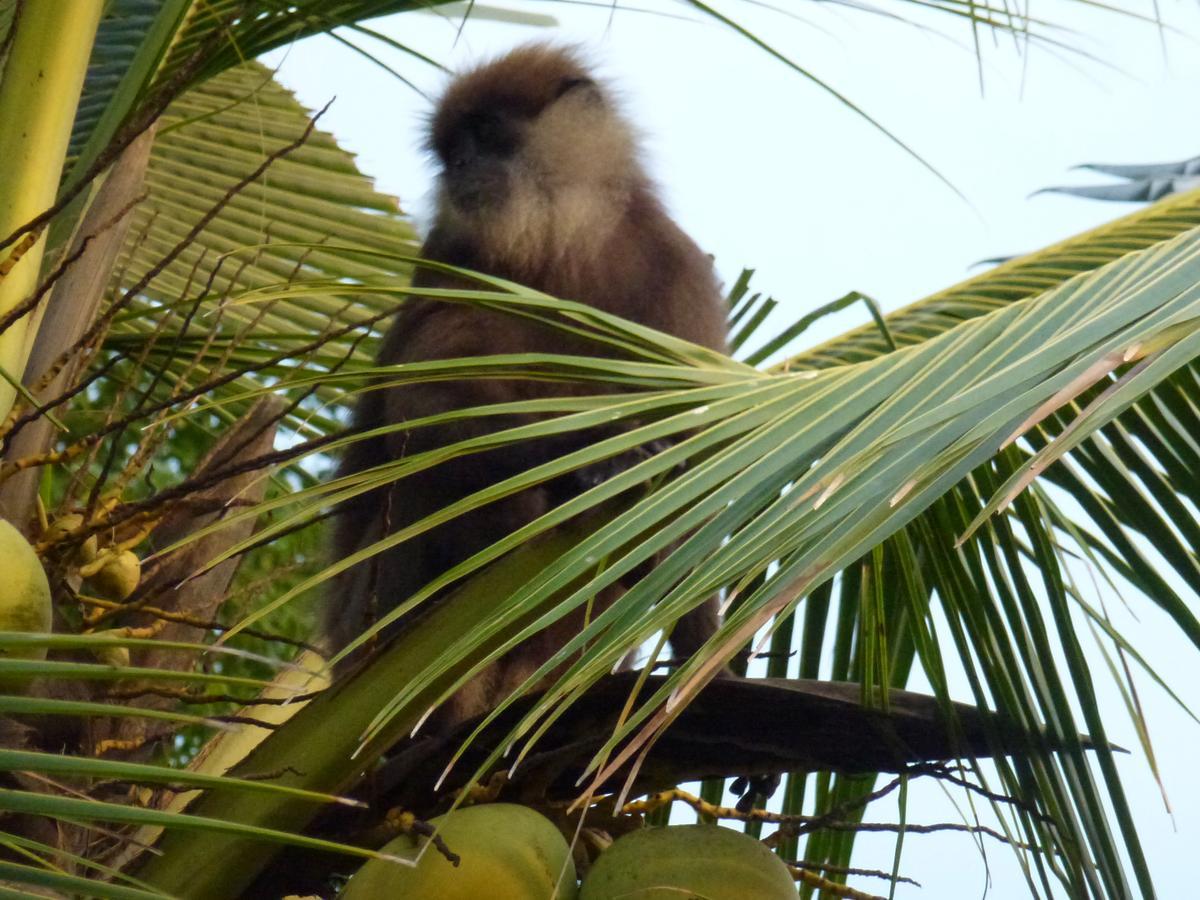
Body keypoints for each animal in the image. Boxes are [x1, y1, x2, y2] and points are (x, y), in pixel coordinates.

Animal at [324, 45, 724, 729]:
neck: (563, 242)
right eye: (451, 148)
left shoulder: (681, 272)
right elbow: (422, 408)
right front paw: (587, 452)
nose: (460, 165)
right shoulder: (455, 253)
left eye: (484, 133)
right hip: (365, 621)